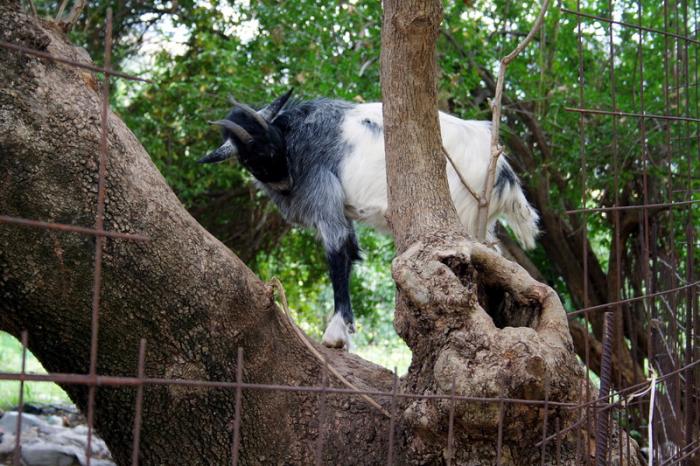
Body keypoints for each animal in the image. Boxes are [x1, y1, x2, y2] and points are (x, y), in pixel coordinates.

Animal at [199, 90, 539, 349]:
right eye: (249, 157)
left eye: (270, 144)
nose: (286, 181)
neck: (296, 137)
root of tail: (504, 174)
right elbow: (350, 251)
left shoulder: (324, 194)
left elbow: (337, 254)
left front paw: (337, 334)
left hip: (462, 215)